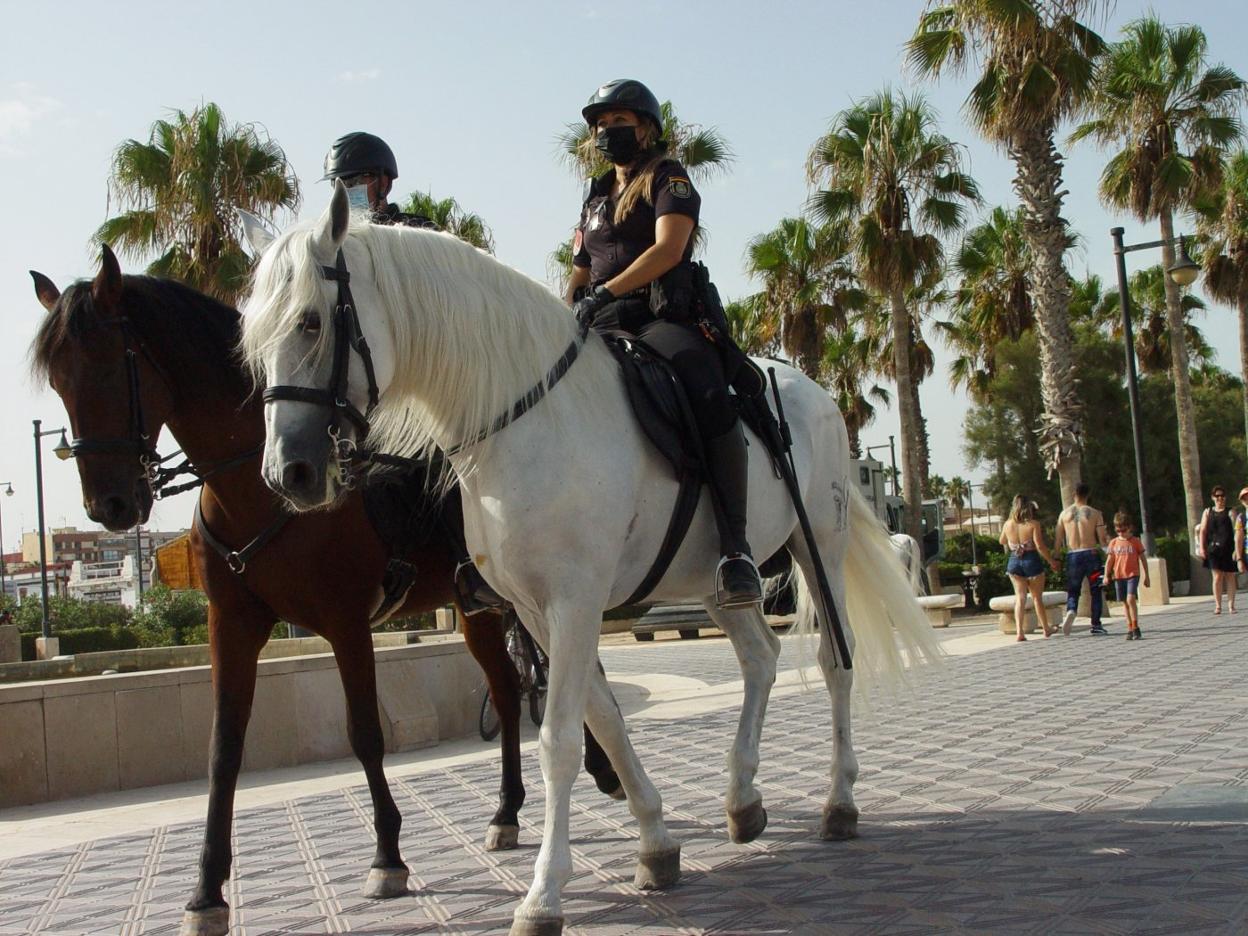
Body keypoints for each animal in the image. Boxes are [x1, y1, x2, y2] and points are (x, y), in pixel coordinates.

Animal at [28, 249, 614, 936]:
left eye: (106, 369)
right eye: (60, 384)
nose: (111, 506)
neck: (259, 491)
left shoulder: (346, 624)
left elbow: (365, 733)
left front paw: (388, 856)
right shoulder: (231, 626)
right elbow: (223, 750)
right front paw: (206, 891)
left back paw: (602, 774)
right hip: (477, 611)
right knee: (505, 686)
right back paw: (507, 812)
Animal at [238, 187, 938, 933]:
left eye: (311, 322)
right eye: (255, 336)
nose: (290, 473)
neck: (524, 419)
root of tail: (814, 393)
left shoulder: (575, 601)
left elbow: (558, 740)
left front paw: (544, 893)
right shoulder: (535, 611)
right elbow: (602, 720)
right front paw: (656, 843)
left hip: (819, 547)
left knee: (836, 664)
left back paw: (839, 802)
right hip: (716, 578)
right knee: (760, 658)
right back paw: (743, 798)